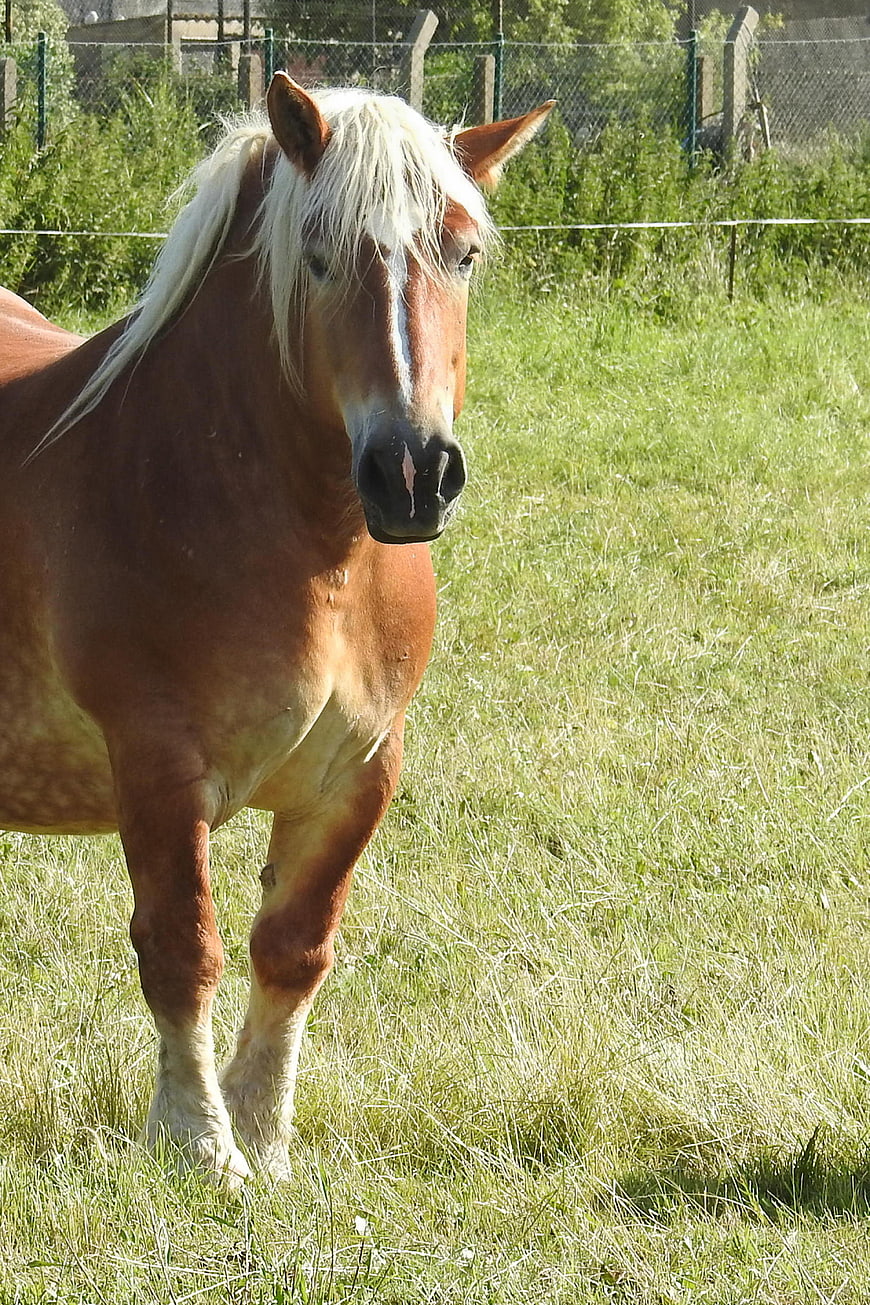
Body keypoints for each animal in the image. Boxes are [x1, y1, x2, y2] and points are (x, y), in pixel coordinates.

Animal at [0, 73, 553, 1187]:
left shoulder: (360, 773)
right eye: (319, 255)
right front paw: (199, 1144)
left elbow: (294, 947)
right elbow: (183, 951)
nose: (413, 473)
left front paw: (265, 1136)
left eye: (464, 253)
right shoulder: (159, 771)